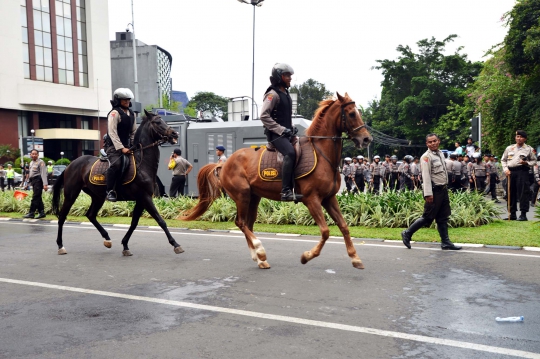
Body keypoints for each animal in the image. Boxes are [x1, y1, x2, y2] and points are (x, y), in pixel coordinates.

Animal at [52, 111, 184, 258]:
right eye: (157, 122)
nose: (174, 134)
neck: (142, 163)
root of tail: (70, 164)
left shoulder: (141, 199)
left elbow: (134, 223)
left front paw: (125, 245)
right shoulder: (145, 198)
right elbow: (160, 221)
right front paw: (175, 244)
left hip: (98, 197)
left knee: (91, 215)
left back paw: (107, 238)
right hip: (71, 194)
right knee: (62, 217)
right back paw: (60, 245)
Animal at [181, 93, 372, 270]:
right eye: (352, 113)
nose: (366, 139)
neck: (322, 154)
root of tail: (224, 163)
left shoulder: (329, 199)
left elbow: (344, 226)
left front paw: (355, 258)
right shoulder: (312, 200)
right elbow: (325, 231)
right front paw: (307, 256)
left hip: (253, 197)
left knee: (248, 224)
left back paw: (259, 259)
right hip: (242, 196)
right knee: (241, 223)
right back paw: (259, 250)